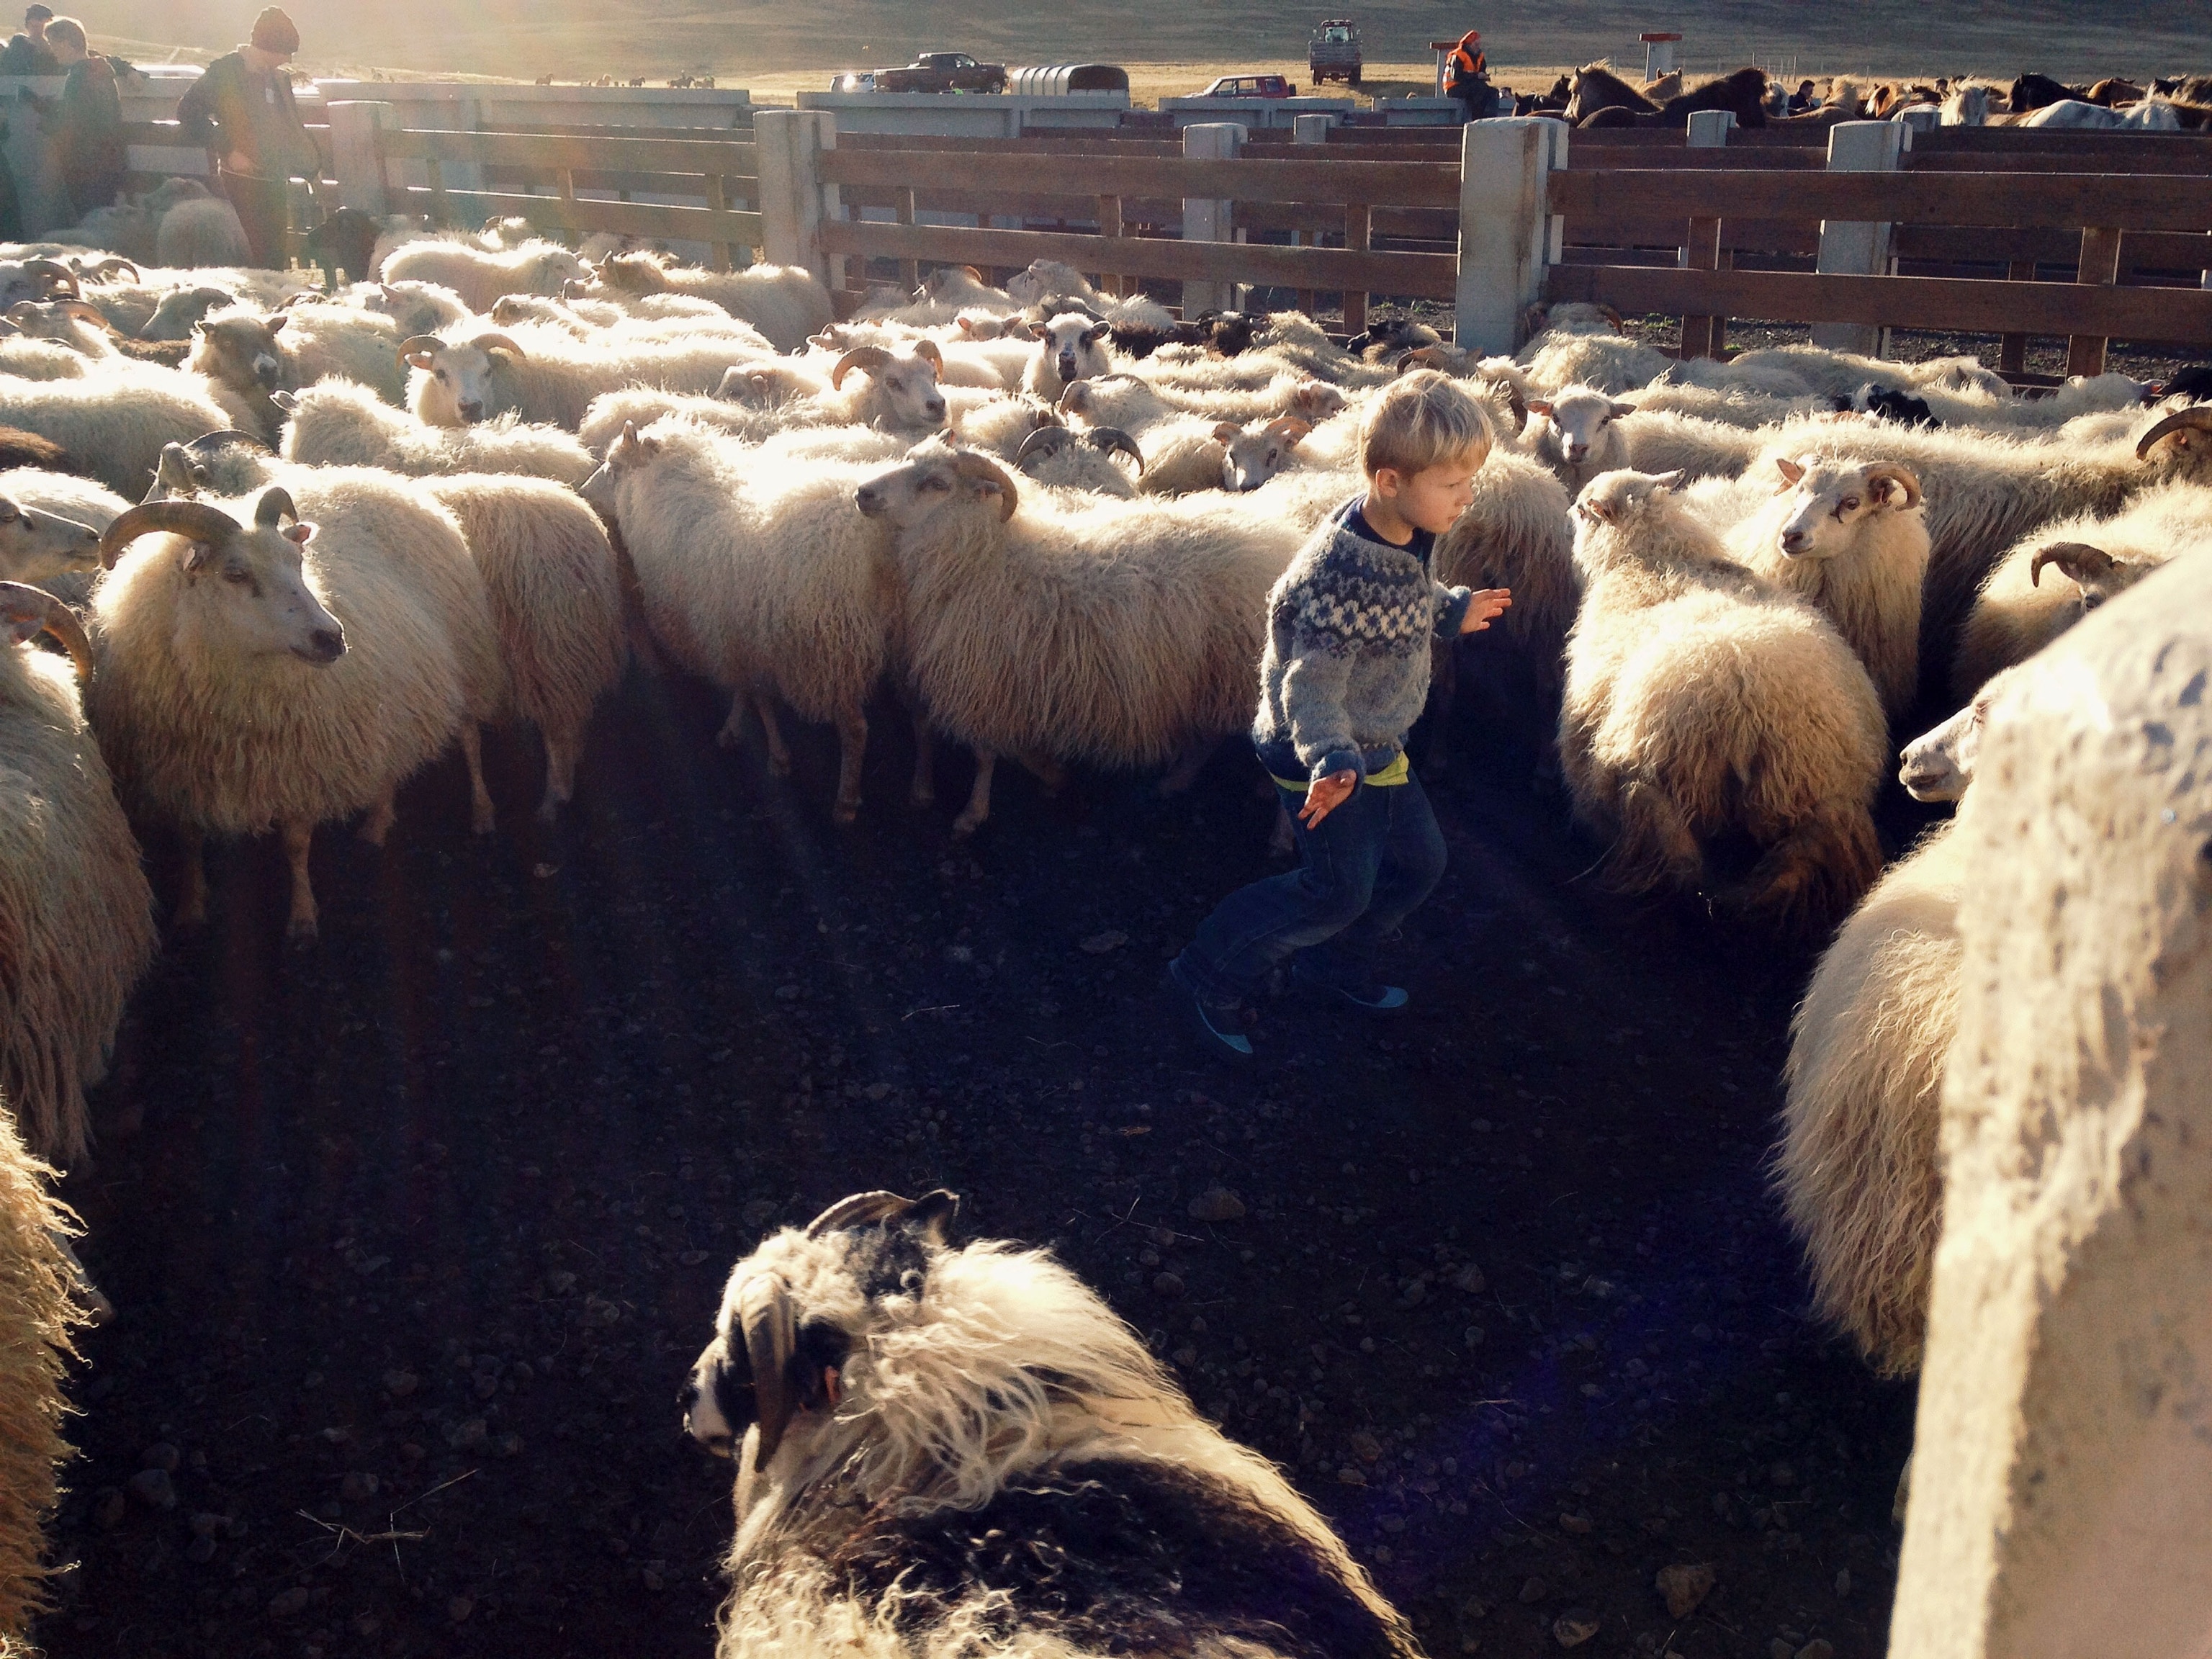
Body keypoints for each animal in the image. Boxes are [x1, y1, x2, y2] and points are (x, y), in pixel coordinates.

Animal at [88, 477, 503, 941]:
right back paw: (376, 824)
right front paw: (190, 909)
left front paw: (303, 919)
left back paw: (482, 813)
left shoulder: (299, 763)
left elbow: (295, 842)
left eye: (299, 560)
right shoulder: (176, 773)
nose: (332, 637)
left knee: (470, 737)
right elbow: (189, 841)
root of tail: (390, 483)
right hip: (388, 695)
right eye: (235, 574)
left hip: (467, 658)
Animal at [583, 418, 910, 822]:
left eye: (614, 468)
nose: (583, 493)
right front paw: (736, 731)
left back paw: (846, 801)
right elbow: (745, 691)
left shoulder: (737, 636)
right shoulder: (734, 634)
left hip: (832, 650)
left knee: (855, 729)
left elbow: (759, 699)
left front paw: (776, 757)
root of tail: (870, 539)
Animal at [853, 437, 1308, 834]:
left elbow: (984, 754)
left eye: (937, 484)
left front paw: (973, 814)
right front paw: (1052, 776)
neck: (984, 555)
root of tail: (1287, 544)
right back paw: (1175, 782)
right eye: (909, 459)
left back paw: (1282, 835)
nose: (862, 492)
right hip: (1216, 672)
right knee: (1210, 736)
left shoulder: (985, 679)